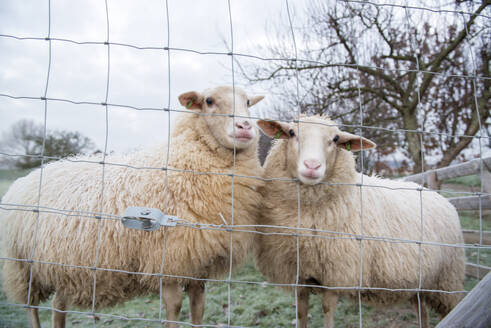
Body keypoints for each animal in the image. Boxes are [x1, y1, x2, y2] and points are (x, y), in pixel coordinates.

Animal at [0, 86, 266, 326]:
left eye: (248, 102)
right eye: (209, 100)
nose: (245, 127)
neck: (180, 163)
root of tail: (28, 177)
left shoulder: (197, 264)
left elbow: (198, 308)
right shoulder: (165, 261)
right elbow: (173, 307)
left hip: (64, 268)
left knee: (58, 306)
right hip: (22, 268)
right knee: (32, 307)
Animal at [256, 115, 468, 328]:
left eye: (335, 139)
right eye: (292, 133)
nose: (312, 166)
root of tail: (440, 197)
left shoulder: (338, 276)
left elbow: (327, 311)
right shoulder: (299, 278)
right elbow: (301, 314)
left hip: (447, 282)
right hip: (419, 285)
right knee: (422, 312)